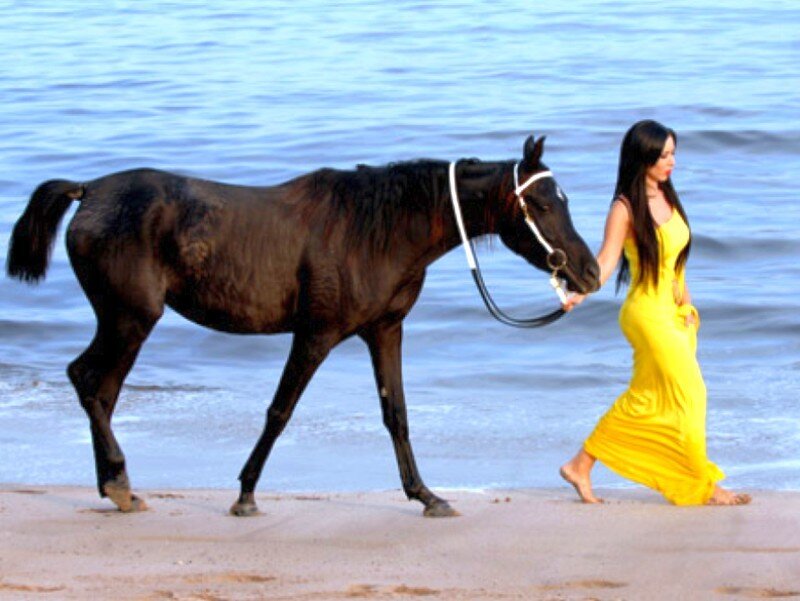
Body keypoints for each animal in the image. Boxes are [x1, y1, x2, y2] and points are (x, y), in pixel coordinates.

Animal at [7, 134, 600, 517]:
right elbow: (280, 411)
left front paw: (426, 495)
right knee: (90, 383)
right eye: (542, 202)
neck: (377, 229)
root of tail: (88, 192)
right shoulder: (316, 335)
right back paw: (120, 482)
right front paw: (246, 494)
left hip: (124, 321)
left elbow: (397, 416)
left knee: (98, 390)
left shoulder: (384, 331)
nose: (590, 272)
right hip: (130, 319)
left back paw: (115, 485)